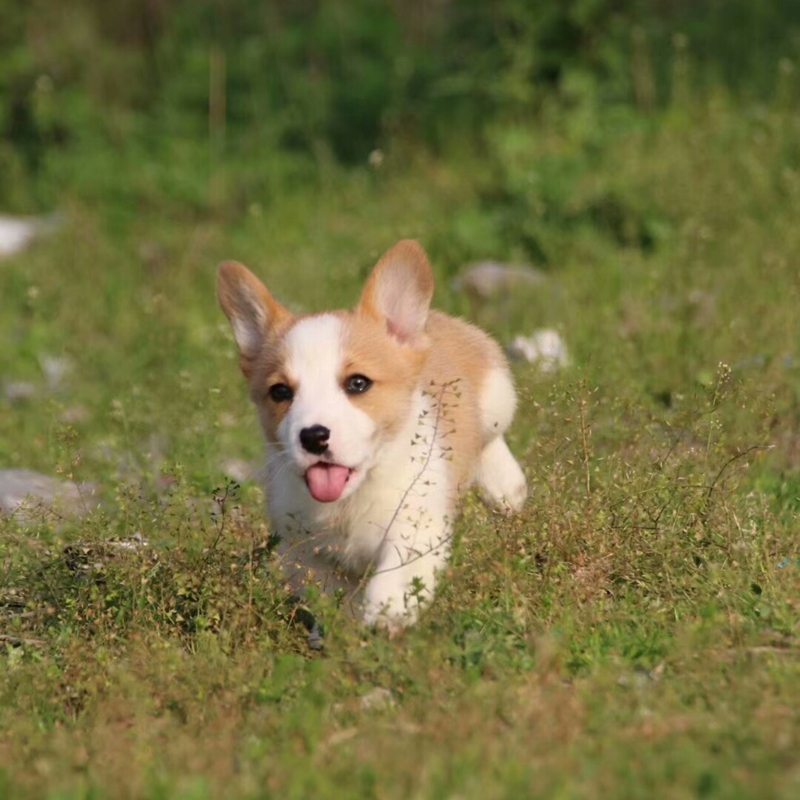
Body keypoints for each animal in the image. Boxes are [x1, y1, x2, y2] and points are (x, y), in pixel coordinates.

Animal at [216, 241, 528, 628]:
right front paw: (345, 629)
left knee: (491, 438)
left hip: (497, 395)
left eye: (358, 383)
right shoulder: (304, 552)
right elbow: (332, 600)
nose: (314, 437)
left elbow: (395, 578)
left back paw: (506, 487)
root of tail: (433, 322)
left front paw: (386, 613)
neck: (351, 499)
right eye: (280, 392)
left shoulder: (415, 526)